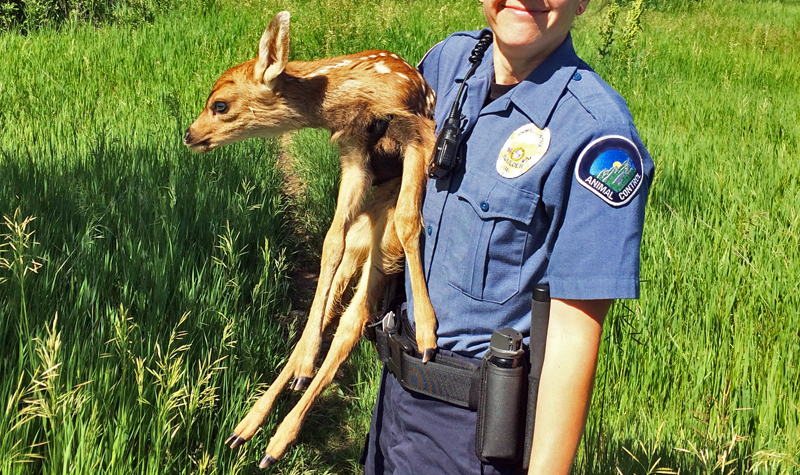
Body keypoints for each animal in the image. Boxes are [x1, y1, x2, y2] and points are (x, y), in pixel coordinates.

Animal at [183, 10, 438, 468]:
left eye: (220, 104)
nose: (189, 135)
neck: (357, 96)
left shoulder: (417, 129)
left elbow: (411, 220)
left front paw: (427, 332)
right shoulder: (354, 153)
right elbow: (330, 240)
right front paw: (302, 361)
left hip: (381, 244)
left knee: (353, 321)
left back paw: (274, 435)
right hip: (366, 239)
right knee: (340, 303)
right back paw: (254, 424)